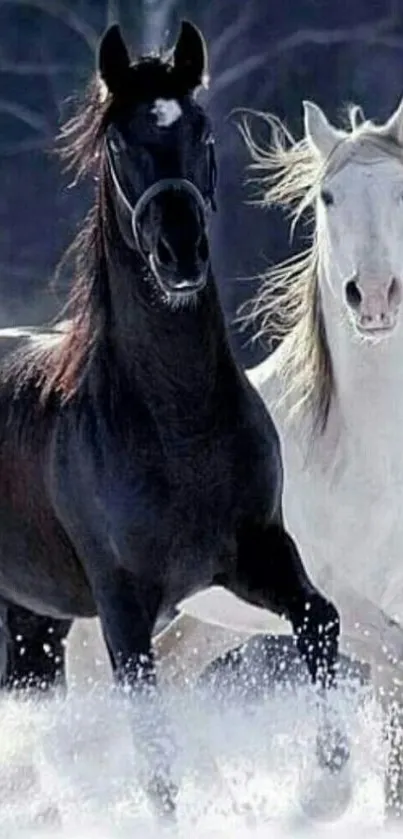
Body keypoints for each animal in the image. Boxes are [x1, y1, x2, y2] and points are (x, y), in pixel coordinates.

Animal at [0, 19, 348, 816]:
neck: (175, 425)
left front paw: (332, 774)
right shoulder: (126, 611)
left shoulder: (256, 552)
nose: (180, 253)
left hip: (34, 621)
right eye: (118, 144)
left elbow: (320, 621)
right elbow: (156, 762)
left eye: (200, 130)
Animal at [65, 95, 403, 816]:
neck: (365, 454)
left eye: (399, 190)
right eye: (328, 197)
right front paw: (324, 786)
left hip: (201, 626)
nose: (373, 295)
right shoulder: (336, 595)